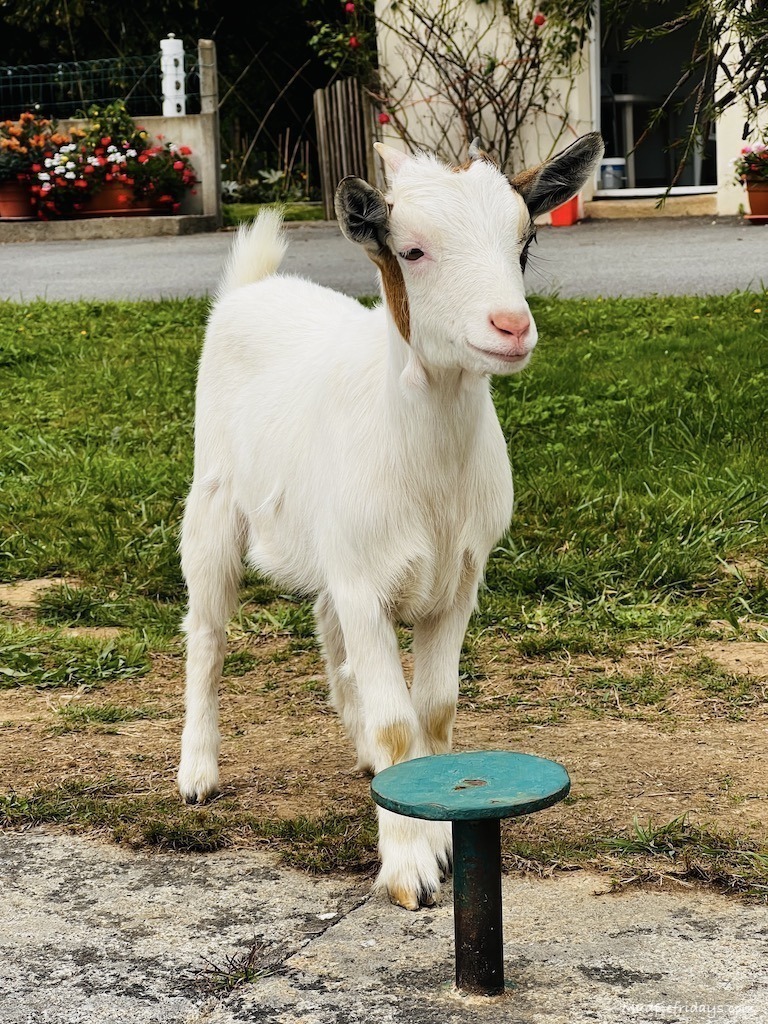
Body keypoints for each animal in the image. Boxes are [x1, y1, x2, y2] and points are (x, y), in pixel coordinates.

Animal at [177, 132, 604, 910]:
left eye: (524, 242)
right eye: (412, 251)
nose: (511, 326)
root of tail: (252, 289)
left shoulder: (457, 579)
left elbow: (434, 707)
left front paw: (428, 818)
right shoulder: (363, 581)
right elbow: (398, 722)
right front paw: (410, 864)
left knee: (324, 625)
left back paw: (360, 759)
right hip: (214, 503)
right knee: (208, 634)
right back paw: (197, 773)